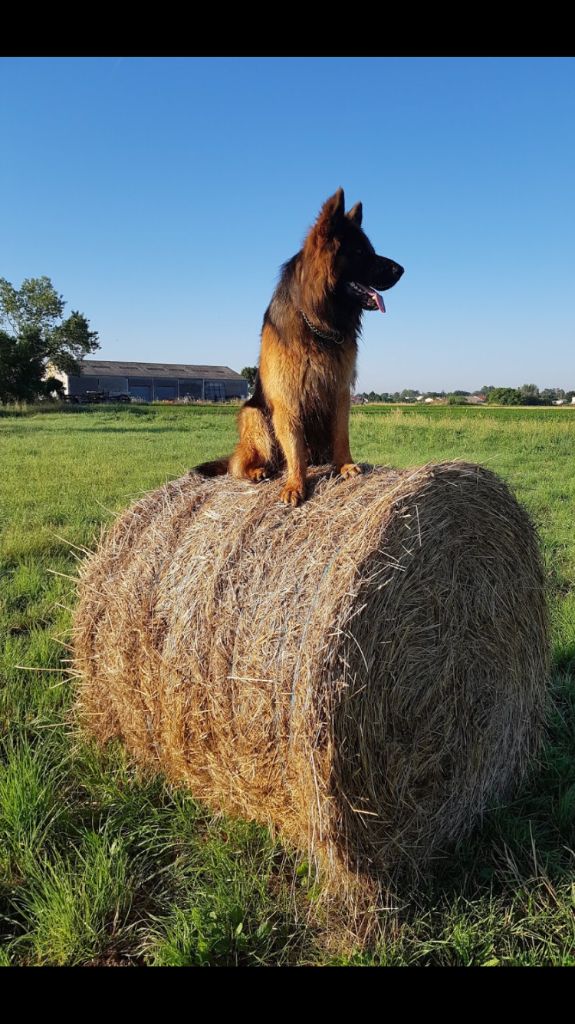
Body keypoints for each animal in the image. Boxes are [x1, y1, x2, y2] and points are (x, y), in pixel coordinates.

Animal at [196, 189, 403, 507]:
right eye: (359, 253)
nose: (402, 269)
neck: (318, 323)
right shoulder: (287, 397)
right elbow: (295, 447)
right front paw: (296, 484)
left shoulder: (340, 389)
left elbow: (341, 433)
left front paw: (345, 465)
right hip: (254, 416)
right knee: (239, 465)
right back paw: (258, 470)